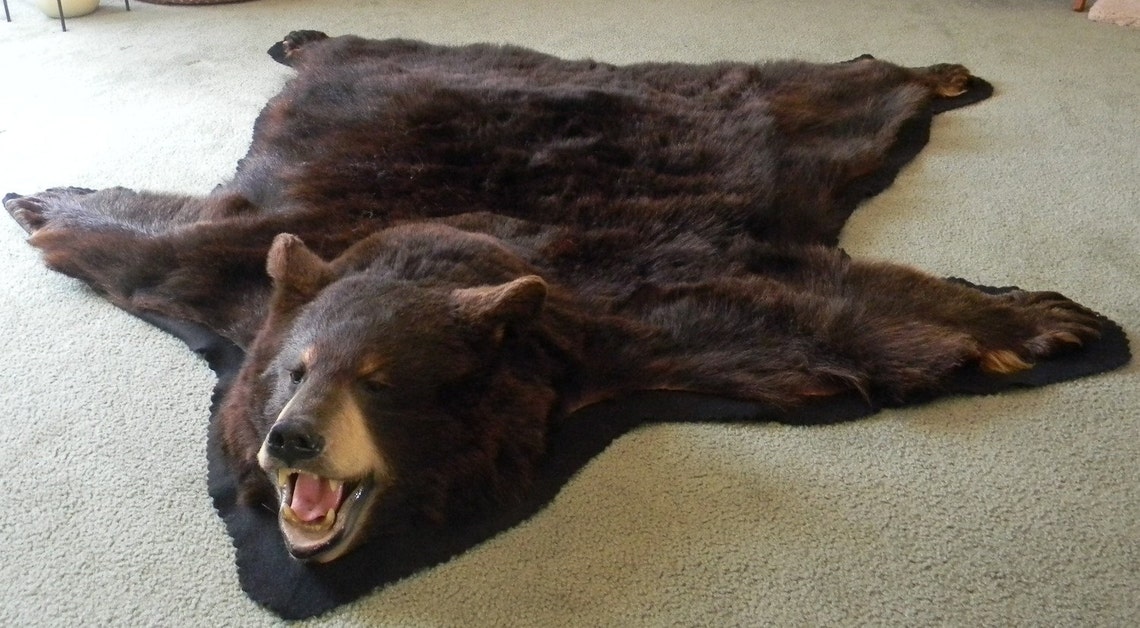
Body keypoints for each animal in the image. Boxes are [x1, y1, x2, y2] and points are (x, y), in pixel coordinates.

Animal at [2, 32, 1110, 566]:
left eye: (380, 378)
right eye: (292, 370)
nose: (290, 437)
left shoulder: (628, 304)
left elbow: (824, 317)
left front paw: (1046, 319)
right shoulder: (237, 270)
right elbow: (140, 245)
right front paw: (38, 197)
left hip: (761, 120)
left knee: (842, 89)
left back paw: (943, 69)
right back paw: (300, 37)